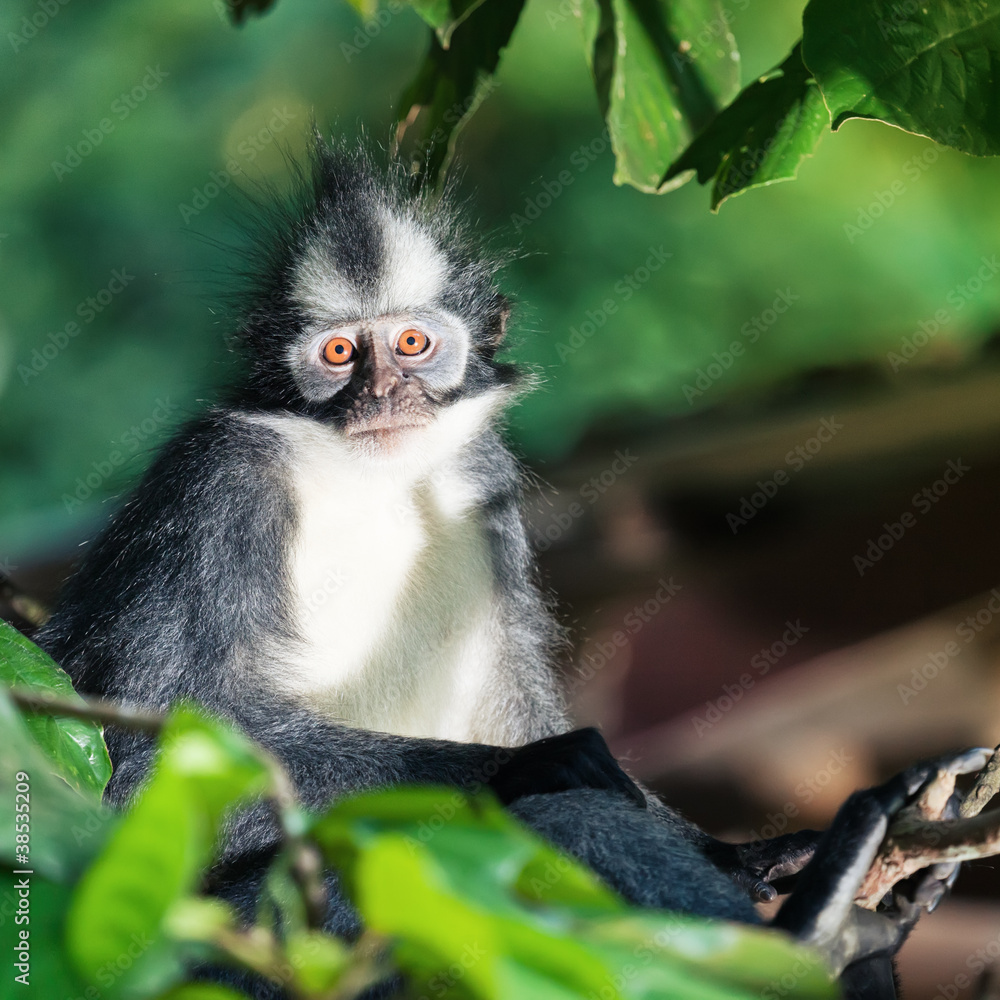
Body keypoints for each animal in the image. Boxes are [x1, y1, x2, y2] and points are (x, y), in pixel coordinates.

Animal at [35, 138, 985, 1000]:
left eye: (412, 343)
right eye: (341, 355)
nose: (385, 395)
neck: (367, 472)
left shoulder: (480, 486)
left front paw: (747, 852)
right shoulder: (221, 479)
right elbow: (152, 754)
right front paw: (553, 766)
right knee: (553, 817)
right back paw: (813, 933)